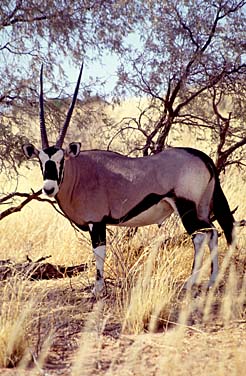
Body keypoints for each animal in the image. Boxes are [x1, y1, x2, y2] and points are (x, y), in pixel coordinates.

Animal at [22, 65, 234, 294]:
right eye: (41, 161)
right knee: (213, 233)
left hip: (187, 208)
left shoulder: (96, 222)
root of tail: (203, 158)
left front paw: (98, 289)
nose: (48, 188)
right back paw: (212, 281)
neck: (79, 172)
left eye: (61, 160)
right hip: (203, 207)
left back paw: (190, 283)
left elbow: (99, 252)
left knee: (201, 236)